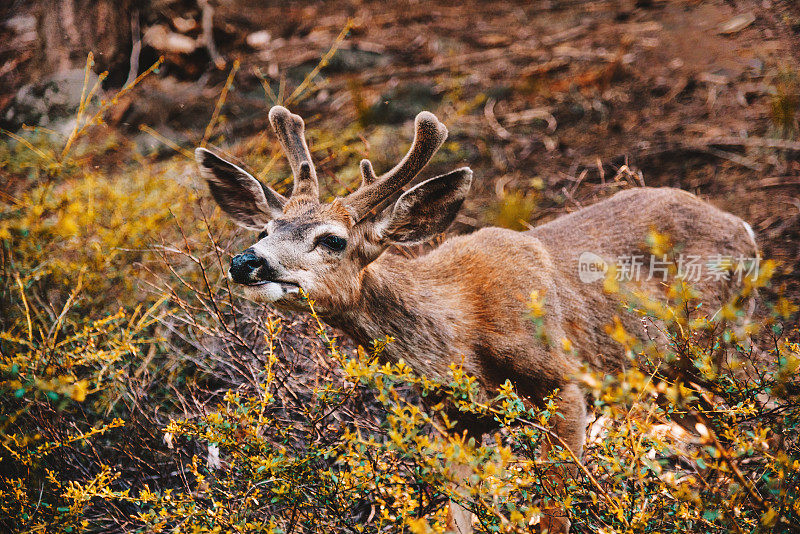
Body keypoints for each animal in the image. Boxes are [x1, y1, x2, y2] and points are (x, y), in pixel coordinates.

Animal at [194, 107, 756, 532]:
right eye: (265, 229)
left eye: (332, 239)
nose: (245, 262)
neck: (461, 335)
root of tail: (744, 228)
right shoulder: (454, 419)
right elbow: (458, 515)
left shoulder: (564, 383)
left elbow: (555, 513)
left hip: (713, 346)